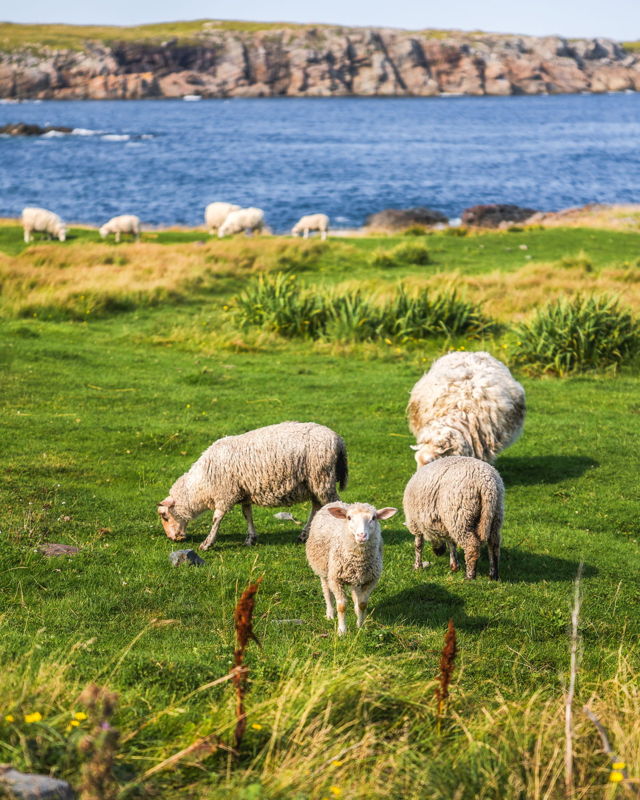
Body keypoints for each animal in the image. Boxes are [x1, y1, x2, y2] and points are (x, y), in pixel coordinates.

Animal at [157, 421, 348, 550]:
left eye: (165, 516)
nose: (173, 539)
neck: (201, 486)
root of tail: (338, 439)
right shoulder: (243, 493)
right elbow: (247, 514)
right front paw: (250, 538)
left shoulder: (225, 494)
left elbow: (216, 518)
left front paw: (207, 543)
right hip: (315, 482)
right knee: (316, 506)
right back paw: (304, 535)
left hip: (322, 478)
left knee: (333, 505)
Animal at [306, 502, 397, 634]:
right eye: (349, 517)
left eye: (373, 518)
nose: (361, 535)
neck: (358, 558)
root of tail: (334, 502)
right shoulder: (335, 579)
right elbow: (342, 606)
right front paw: (342, 631)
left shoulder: (370, 580)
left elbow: (362, 603)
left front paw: (360, 626)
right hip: (322, 568)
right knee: (326, 591)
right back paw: (330, 614)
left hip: (357, 578)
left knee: (356, 596)